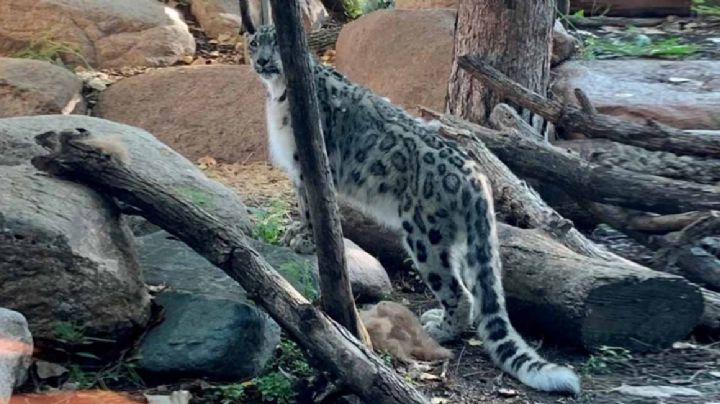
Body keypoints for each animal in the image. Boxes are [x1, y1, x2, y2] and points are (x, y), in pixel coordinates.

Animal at [245, 24, 580, 395]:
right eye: (254, 42)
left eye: (277, 42)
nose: (262, 60)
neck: (278, 94)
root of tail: (477, 177)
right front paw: (294, 233)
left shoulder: (309, 166)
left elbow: (310, 205)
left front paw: (304, 237)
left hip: (425, 237)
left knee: (460, 292)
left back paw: (440, 328)